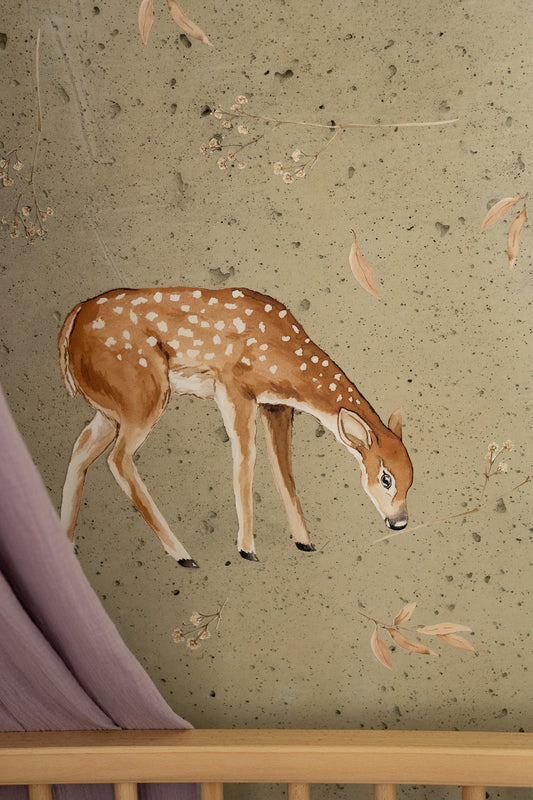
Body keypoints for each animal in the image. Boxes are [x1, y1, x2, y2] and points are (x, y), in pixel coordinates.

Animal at [58, 286, 413, 568]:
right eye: (386, 478)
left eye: (412, 480)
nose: (400, 523)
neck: (288, 366)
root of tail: (74, 317)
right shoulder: (233, 387)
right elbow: (246, 458)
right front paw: (247, 549)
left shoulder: (276, 406)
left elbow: (283, 467)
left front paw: (305, 541)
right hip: (142, 392)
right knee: (117, 459)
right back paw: (184, 555)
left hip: (111, 408)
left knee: (80, 448)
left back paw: (68, 541)